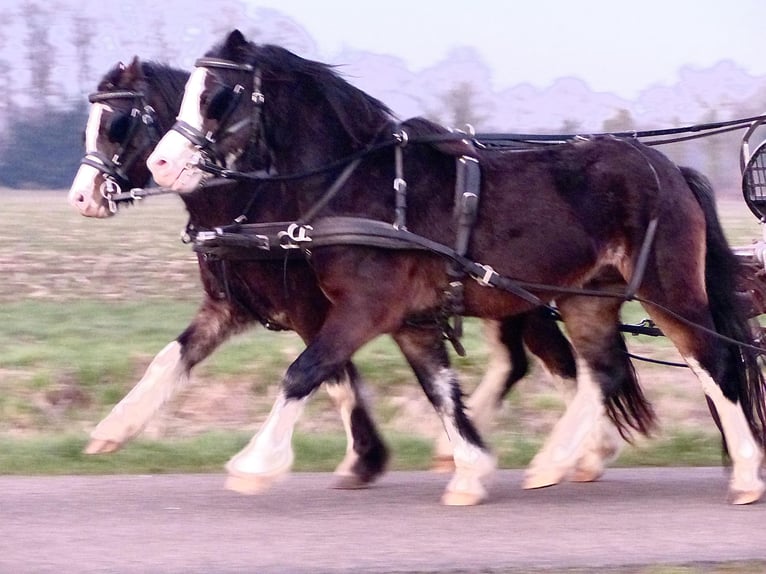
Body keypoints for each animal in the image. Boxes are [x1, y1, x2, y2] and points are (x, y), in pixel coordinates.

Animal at [146, 31, 766, 506]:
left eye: (216, 95)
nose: (161, 163)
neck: (363, 185)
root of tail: (671, 168)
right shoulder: (411, 322)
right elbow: (440, 390)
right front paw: (469, 472)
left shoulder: (363, 310)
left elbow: (304, 372)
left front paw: (254, 465)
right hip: (587, 297)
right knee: (605, 370)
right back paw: (554, 461)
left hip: (668, 291)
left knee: (712, 362)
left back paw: (744, 473)